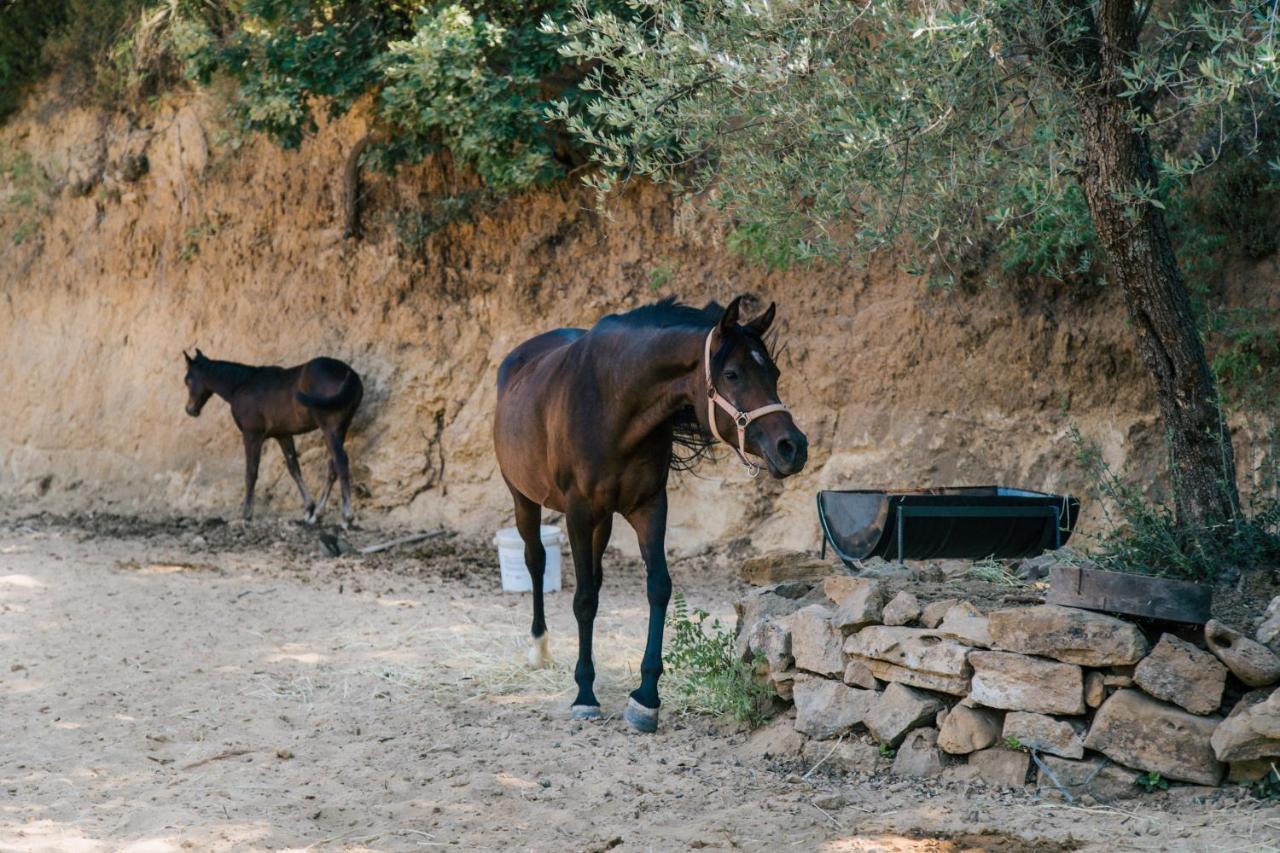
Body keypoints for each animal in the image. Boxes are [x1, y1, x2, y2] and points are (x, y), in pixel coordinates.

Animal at [180, 348, 363, 525]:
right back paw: (318, 514)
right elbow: (294, 468)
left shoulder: (252, 435)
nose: (190, 410)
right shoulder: (283, 435)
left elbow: (251, 473)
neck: (241, 385)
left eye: (188, 380)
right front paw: (308, 509)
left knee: (340, 461)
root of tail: (351, 375)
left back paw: (346, 516)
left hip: (329, 428)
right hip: (340, 428)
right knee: (333, 466)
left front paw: (246, 515)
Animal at [491, 295, 808, 727]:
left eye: (774, 372)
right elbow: (583, 599)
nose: (793, 447)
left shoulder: (650, 506)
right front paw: (585, 693)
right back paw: (539, 648)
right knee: (536, 561)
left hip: (603, 520)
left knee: (594, 577)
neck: (612, 404)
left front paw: (646, 697)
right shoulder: (577, 512)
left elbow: (657, 587)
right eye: (732, 374)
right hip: (523, 497)